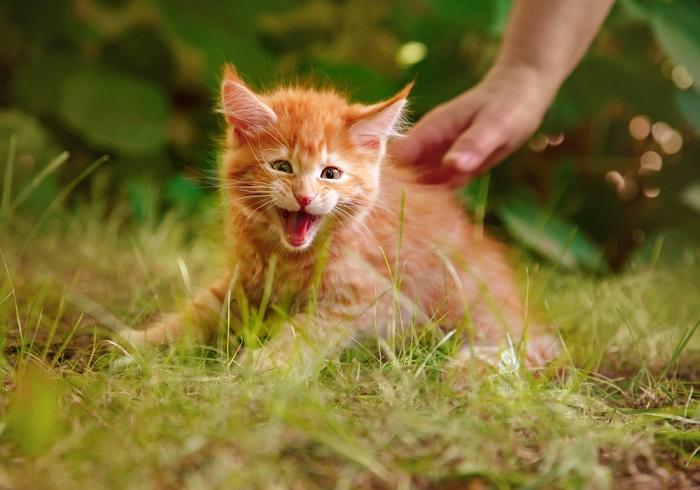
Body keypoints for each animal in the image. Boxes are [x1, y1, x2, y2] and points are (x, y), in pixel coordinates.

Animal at [124, 63, 556, 370]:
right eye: (282, 167)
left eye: (330, 174)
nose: (304, 196)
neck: (287, 257)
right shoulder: (243, 281)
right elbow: (198, 312)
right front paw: (141, 344)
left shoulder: (373, 299)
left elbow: (306, 330)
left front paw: (268, 364)